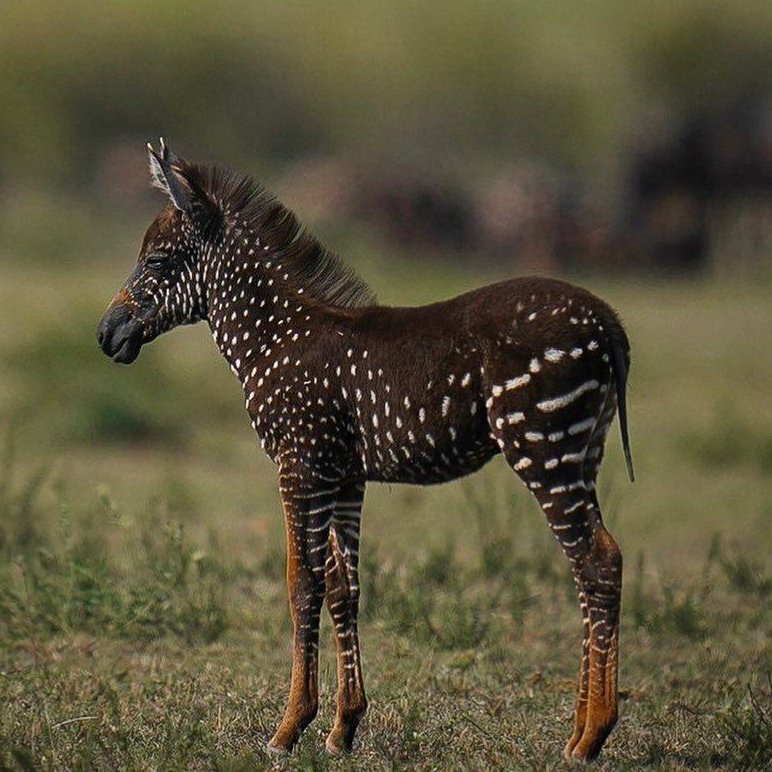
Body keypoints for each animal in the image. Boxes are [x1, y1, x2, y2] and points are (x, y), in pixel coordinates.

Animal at [97, 140, 633, 761]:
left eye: (158, 262)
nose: (105, 335)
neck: (274, 337)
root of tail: (608, 321)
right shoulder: (344, 474)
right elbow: (342, 588)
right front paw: (343, 727)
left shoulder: (300, 465)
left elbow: (300, 583)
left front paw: (289, 728)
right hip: (581, 452)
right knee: (591, 566)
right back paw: (577, 732)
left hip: (544, 448)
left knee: (597, 561)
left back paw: (592, 736)